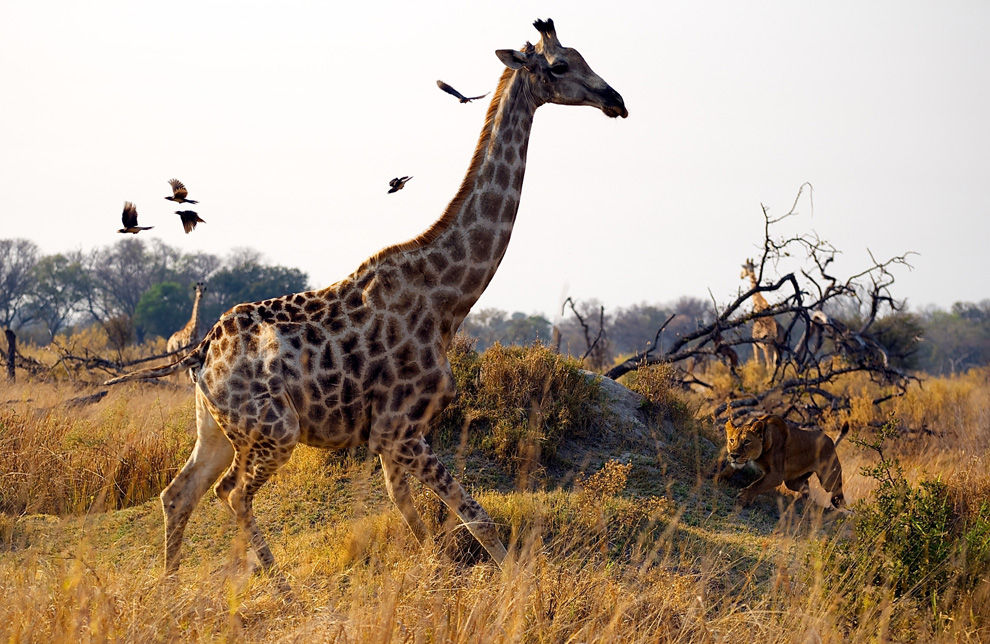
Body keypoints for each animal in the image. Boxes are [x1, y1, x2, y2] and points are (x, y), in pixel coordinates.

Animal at [102, 18, 628, 572]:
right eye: (560, 65)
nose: (616, 100)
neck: (449, 298)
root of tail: (202, 354)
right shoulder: (398, 428)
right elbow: (474, 516)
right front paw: (510, 585)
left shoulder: (395, 435)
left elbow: (416, 516)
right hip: (274, 428)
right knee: (232, 493)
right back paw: (277, 582)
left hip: (216, 429)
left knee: (179, 493)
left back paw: (172, 584)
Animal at [716, 416, 848, 510]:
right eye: (732, 440)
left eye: (747, 441)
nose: (734, 455)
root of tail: (830, 441)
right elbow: (730, 468)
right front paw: (718, 478)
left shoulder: (776, 476)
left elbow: (757, 485)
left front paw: (743, 499)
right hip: (792, 482)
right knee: (806, 486)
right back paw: (805, 502)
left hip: (828, 480)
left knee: (838, 494)